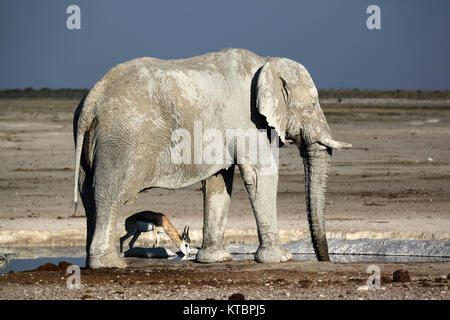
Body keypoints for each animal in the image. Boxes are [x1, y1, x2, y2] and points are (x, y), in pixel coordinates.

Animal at [73, 47, 352, 268]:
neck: (267, 62)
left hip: (94, 142)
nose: (325, 261)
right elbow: (260, 174)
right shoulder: (249, 120)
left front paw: (215, 260)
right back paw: (109, 264)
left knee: (88, 196)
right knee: (109, 194)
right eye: (314, 106)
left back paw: (94, 262)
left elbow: (218, 181)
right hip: (121, 140)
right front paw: (281, 258)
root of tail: (91, 100)